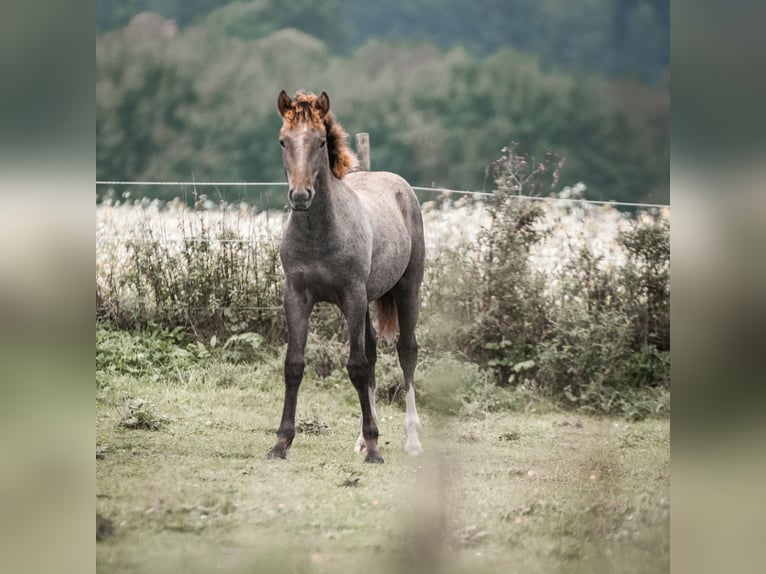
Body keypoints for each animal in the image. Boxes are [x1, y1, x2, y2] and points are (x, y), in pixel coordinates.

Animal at [268, 91, 426, 468]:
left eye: (321, 141)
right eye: (283, 140)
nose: (300, 196)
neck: (320, 233)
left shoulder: (352, 296)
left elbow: (356, 366)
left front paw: (375, 449)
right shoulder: (296, 296)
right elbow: (294, 365)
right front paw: (280, 443)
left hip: (407, 289)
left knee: (406, 351)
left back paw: (412, 440)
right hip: (367, 302)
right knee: (372, 350)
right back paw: (362, 439)